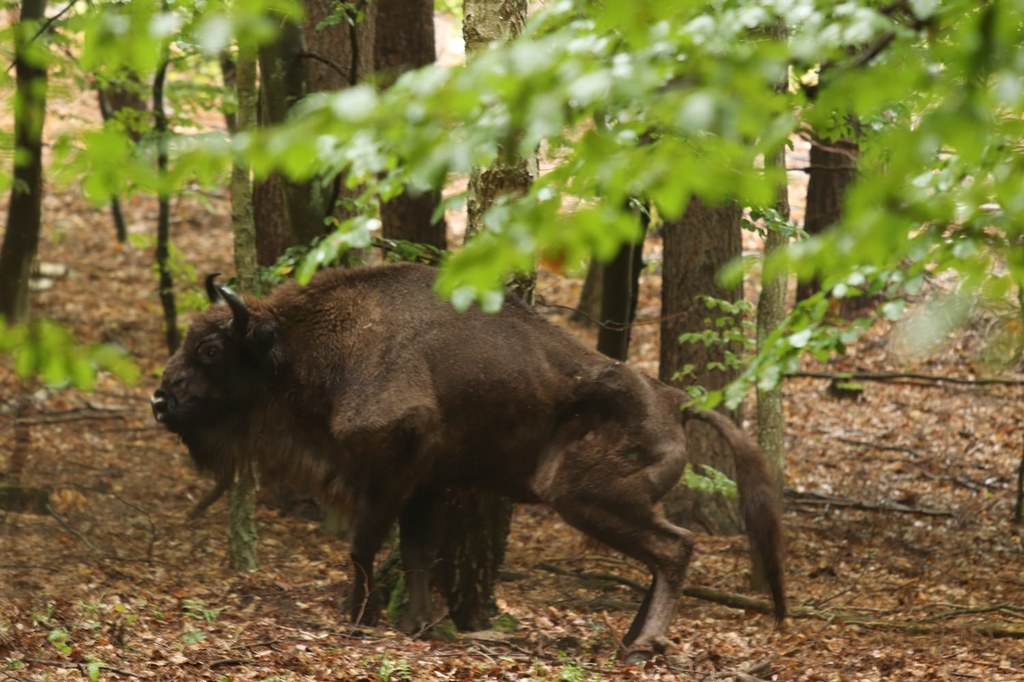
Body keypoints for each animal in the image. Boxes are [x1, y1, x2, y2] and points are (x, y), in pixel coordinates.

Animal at [149, 261, 782, 659]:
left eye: (211, 349)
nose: (160, 400)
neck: (313, 344)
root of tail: (674, 399)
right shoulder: (425, 482)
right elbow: (417, 550)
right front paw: (416, 623)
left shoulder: (388, 471)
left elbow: (364, 546)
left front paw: (357, 618)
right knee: (662, 555)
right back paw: (630, 639)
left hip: (589, 496)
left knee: (674, 548)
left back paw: (643, 645)